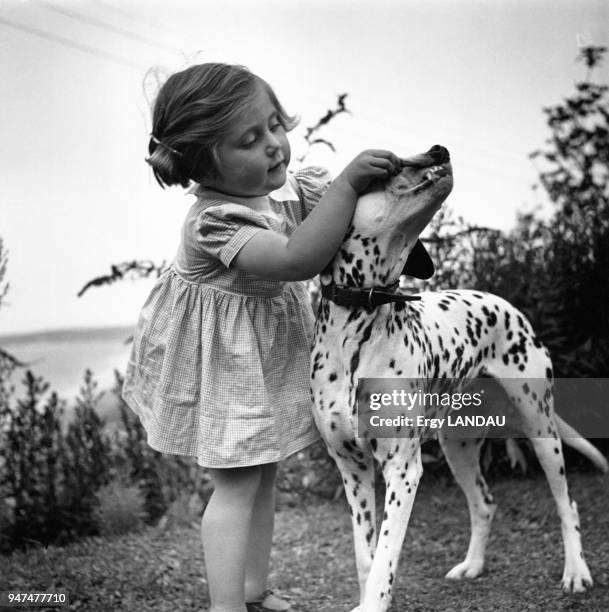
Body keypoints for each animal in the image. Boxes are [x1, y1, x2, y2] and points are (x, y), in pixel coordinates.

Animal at [312, 146, 604, 612]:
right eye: (389, 165)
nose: (439, 150)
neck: (359, 322)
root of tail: (506, 305)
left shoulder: (402, 469)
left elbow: (385, 557)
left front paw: (374, 601)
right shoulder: (351, 467)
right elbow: (365, 554)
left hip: (541, 429)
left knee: (567, 504)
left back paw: (576, 571)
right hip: (459, 445)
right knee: (484, 504)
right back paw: (473, 565)